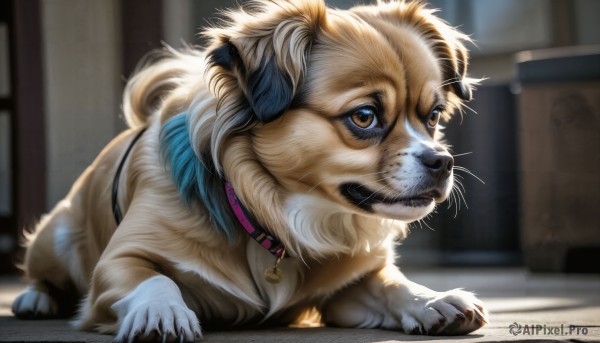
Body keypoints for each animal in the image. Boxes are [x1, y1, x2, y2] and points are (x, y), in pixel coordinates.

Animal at [12, 0, 488, 342]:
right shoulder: (117, 261)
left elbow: (391, 285)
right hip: (56, 237)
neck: (274, 215)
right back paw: (34, 299)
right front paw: (160, 312)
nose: (441, 161)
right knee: (45, 273)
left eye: (433, 116)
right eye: (365, 117)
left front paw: (433, 300)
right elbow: (153, 279)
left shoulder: (349, 288)